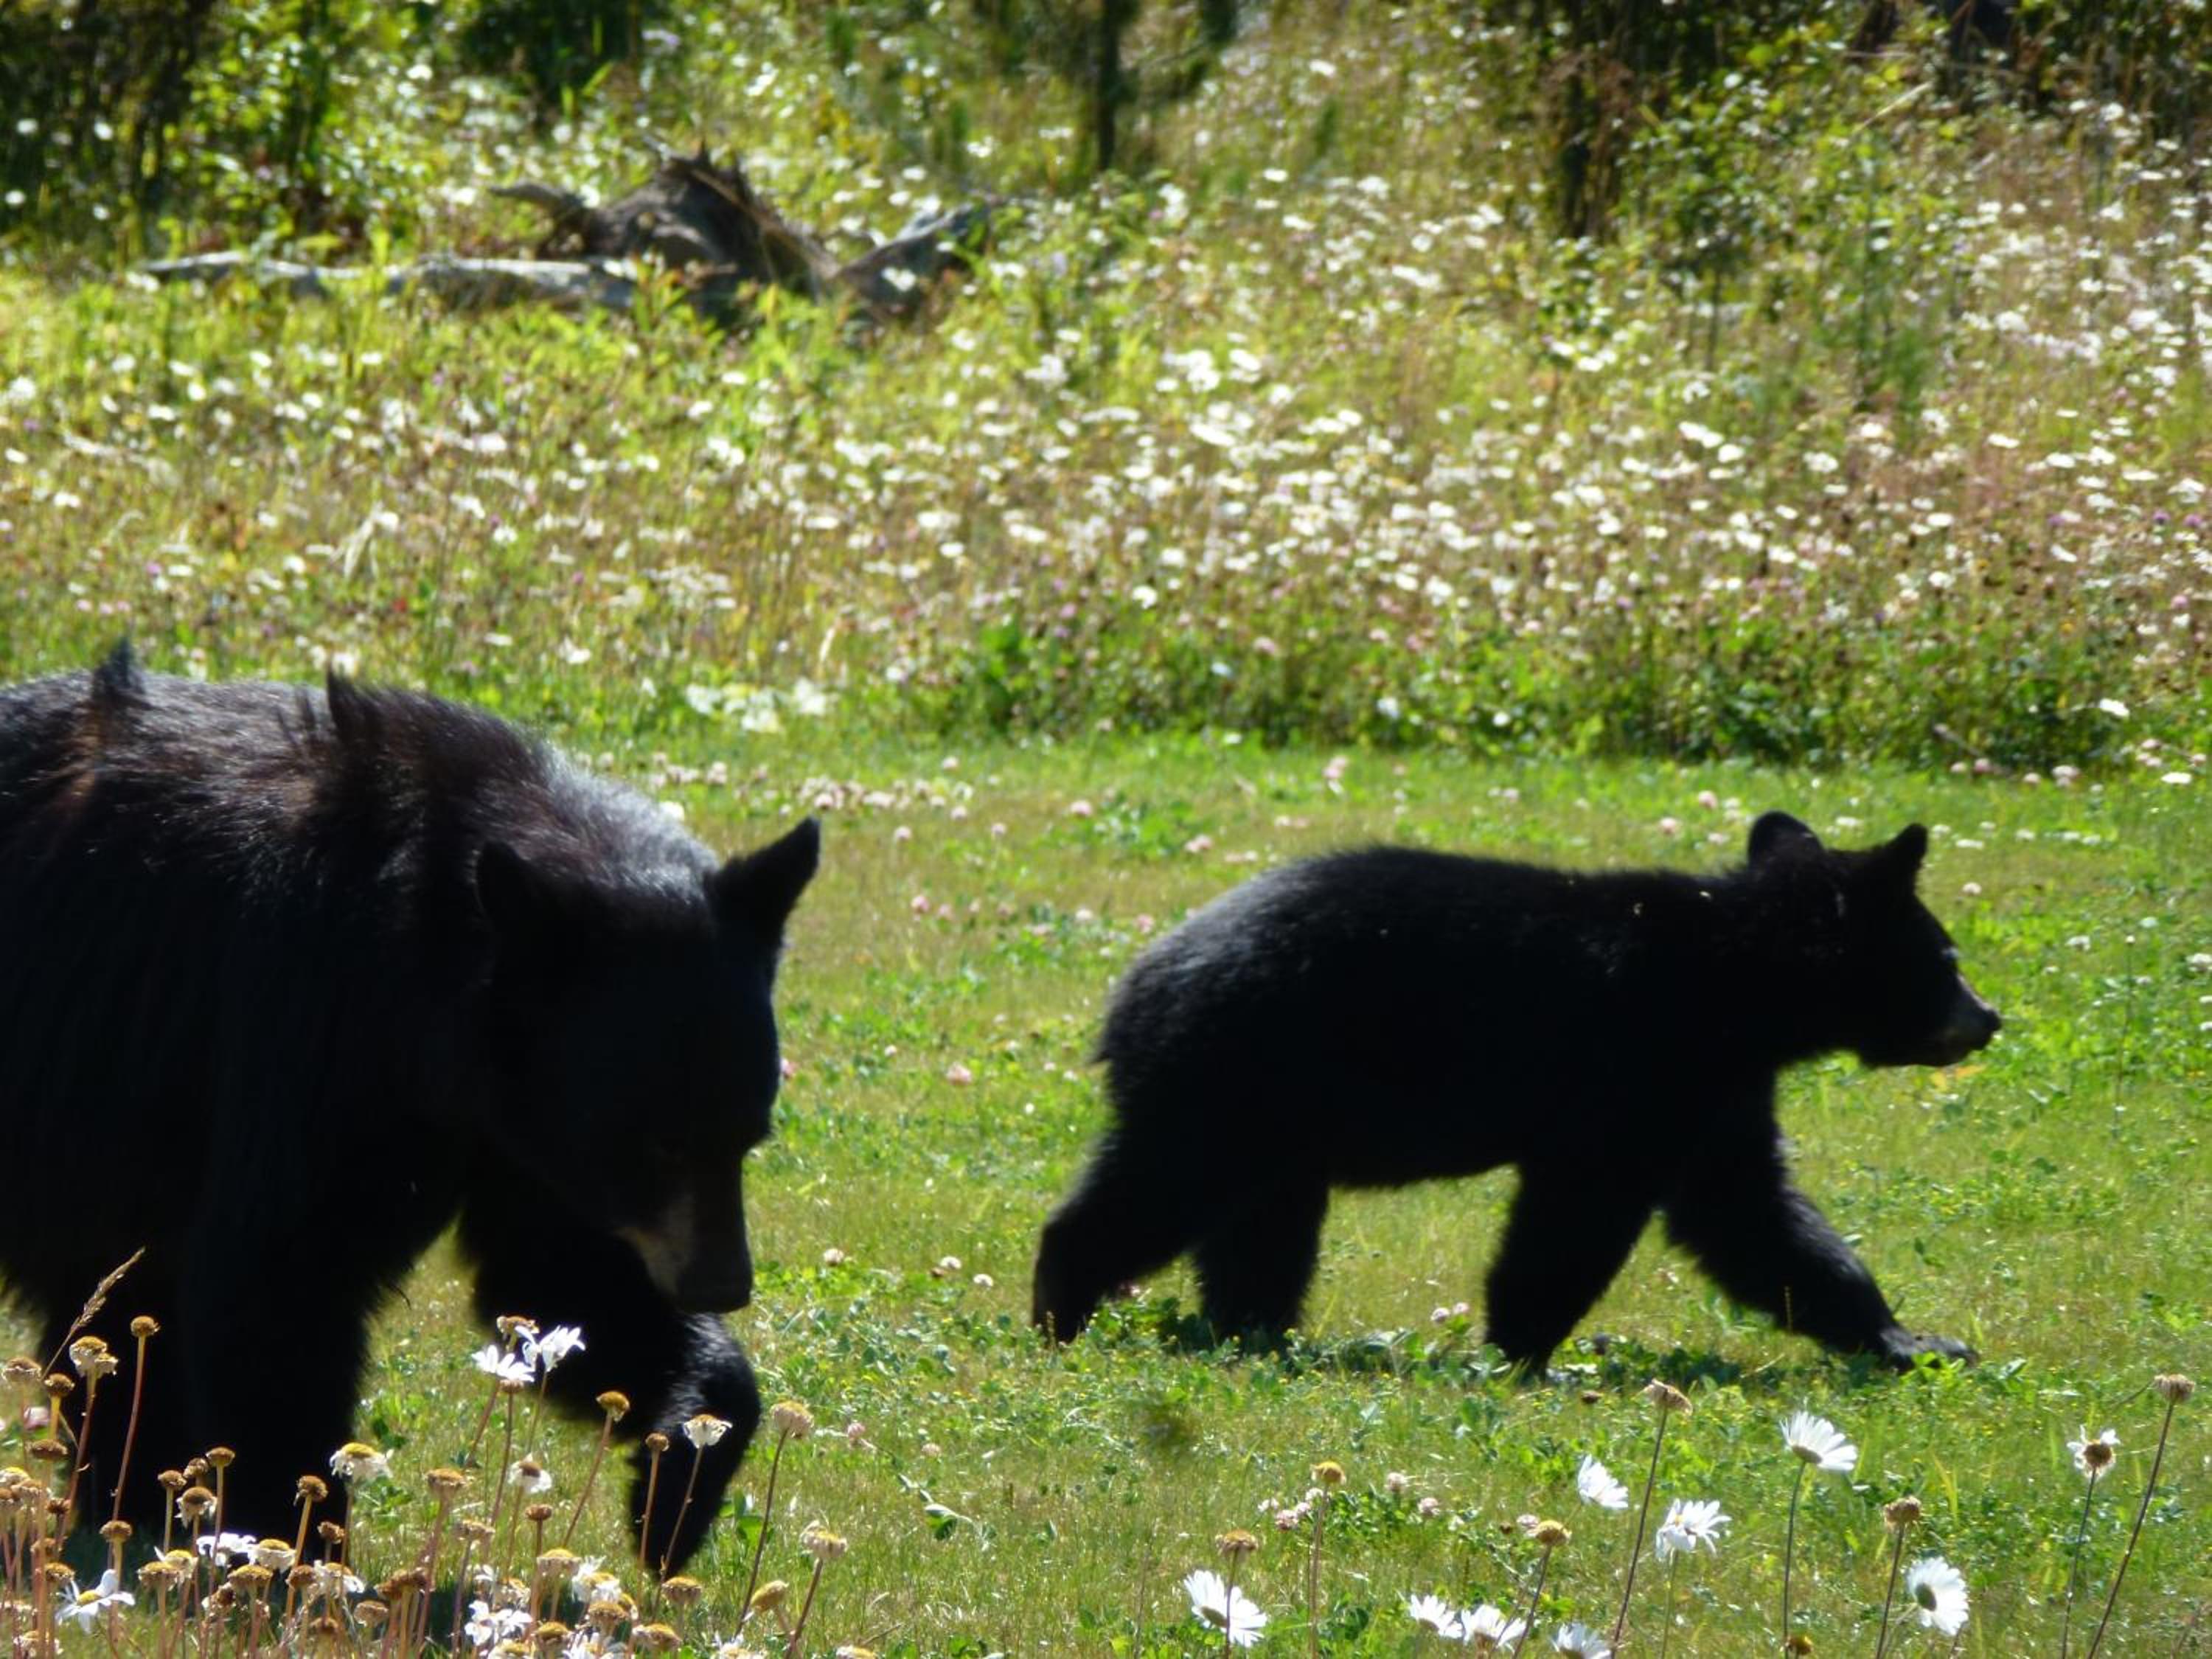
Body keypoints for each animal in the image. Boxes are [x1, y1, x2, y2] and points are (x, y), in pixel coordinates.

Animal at [0, 645, 818, 1570]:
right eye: (656, 1143)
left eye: (746, 1137)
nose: (724, 1283)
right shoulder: (311, 1028)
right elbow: (281, 1271)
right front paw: (301, 1551)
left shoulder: (515, 1123)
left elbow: (559, 1272)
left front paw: (674, 1487)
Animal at [1033, 811, 2000, 1373]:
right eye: (1947, 957)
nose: (1988, 1017)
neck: (1735, 981)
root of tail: (1135, 988)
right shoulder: (1639, 1064)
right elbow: (1580, 1211)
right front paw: (1525, 1352)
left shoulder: (1716, 1085)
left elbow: (1748, 1212)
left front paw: (1912, 1338)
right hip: (1232, 1075)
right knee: (1162, 1191)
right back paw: (1061, 1311)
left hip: (1274, 1110)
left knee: (1263, 1226)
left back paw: (1257, 1329)